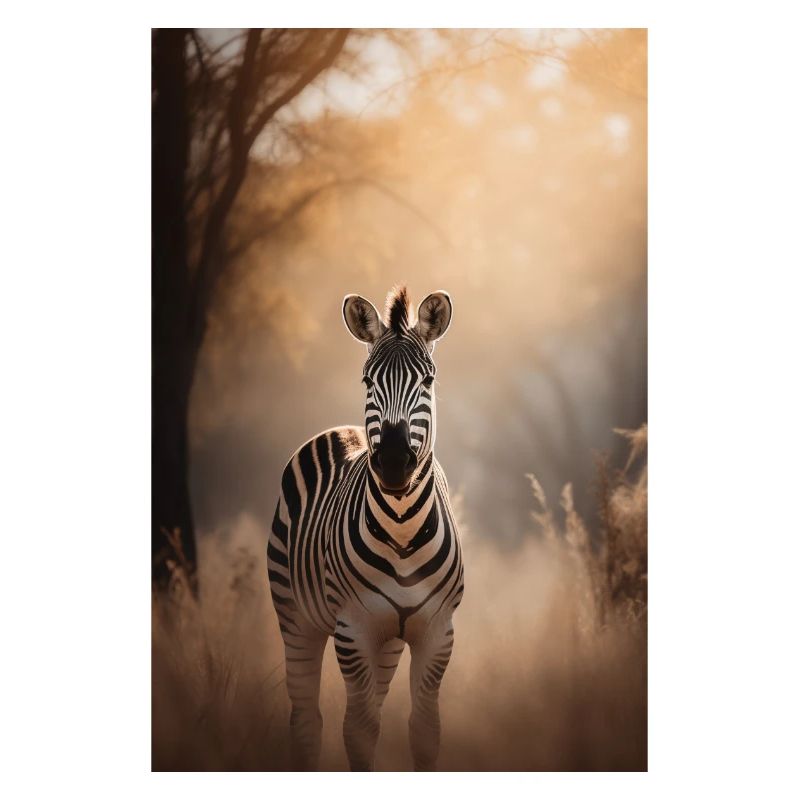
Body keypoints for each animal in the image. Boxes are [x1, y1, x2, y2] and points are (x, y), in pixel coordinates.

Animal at [267, 286, 464, 771]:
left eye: (427, 381)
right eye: (367, 382)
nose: (393, 463)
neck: (402, 527)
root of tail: (343, 430)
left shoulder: (437, 633)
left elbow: (424, 731)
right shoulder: (353, 629)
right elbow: (358, 731)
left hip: (387, 642)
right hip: (296, 617)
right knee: (306, 718)